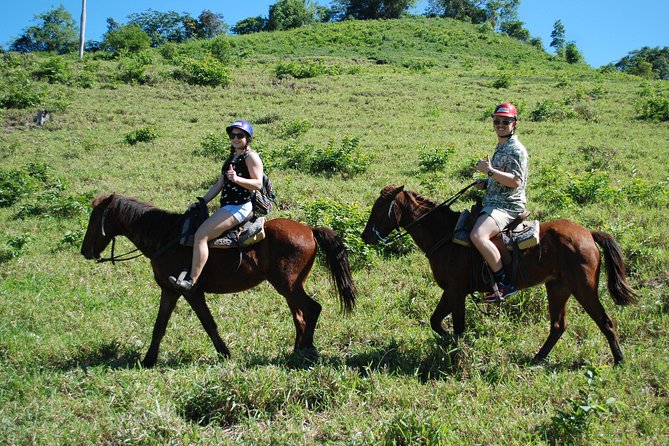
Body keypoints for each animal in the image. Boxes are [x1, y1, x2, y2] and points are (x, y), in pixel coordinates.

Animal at [80, 194, 354, 366]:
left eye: (94, 219)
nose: (85, 251)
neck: (166, 237)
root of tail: (310, 230)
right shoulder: (169, 290)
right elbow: (160, 326)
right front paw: (148, 361)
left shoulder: (190, 291)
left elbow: (208, 323)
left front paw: (225, 353)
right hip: (290, 287)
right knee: (300, 316)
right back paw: (297, 351)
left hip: (288, 285)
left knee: (312, 309)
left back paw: (306, 351)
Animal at [362, 185, 636, 366]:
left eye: (380, 207)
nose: (366, 236)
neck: (446, 235)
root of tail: (588, 233)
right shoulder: (451, 290)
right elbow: (436, 321)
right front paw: (448, 342)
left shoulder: (457, 291)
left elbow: (457, 326)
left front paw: (457, 353)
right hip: (558, 287)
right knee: (558, 326)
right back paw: (538, 358)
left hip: (583, 288)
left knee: (605, 322)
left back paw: (620, 360)